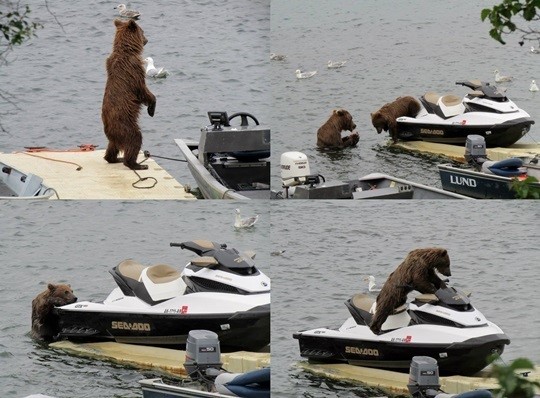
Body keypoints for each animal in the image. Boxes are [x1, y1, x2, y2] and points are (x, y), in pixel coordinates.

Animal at [101, 19, 156, 170]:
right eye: (142, 31)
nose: (147, 39)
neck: (127, 51)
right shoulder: (134, 69)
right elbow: (142, 90)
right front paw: (151, 108)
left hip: (114, 134)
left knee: (112, 146)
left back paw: (114, 158)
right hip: (126, 125)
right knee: (135, 139)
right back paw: (136, 164)